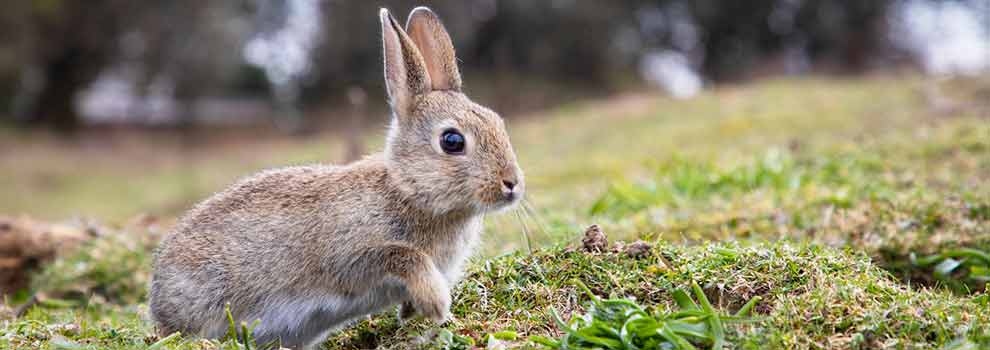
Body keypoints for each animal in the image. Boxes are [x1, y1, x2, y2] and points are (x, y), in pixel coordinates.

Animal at [149, 6, 528, 348]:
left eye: (498, 121)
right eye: (452, 141)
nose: (512, 183)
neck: (406, 190)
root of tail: (158, 298)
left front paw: (414, 311)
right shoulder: (349, 256)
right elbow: (403, 255)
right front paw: (436, 303)